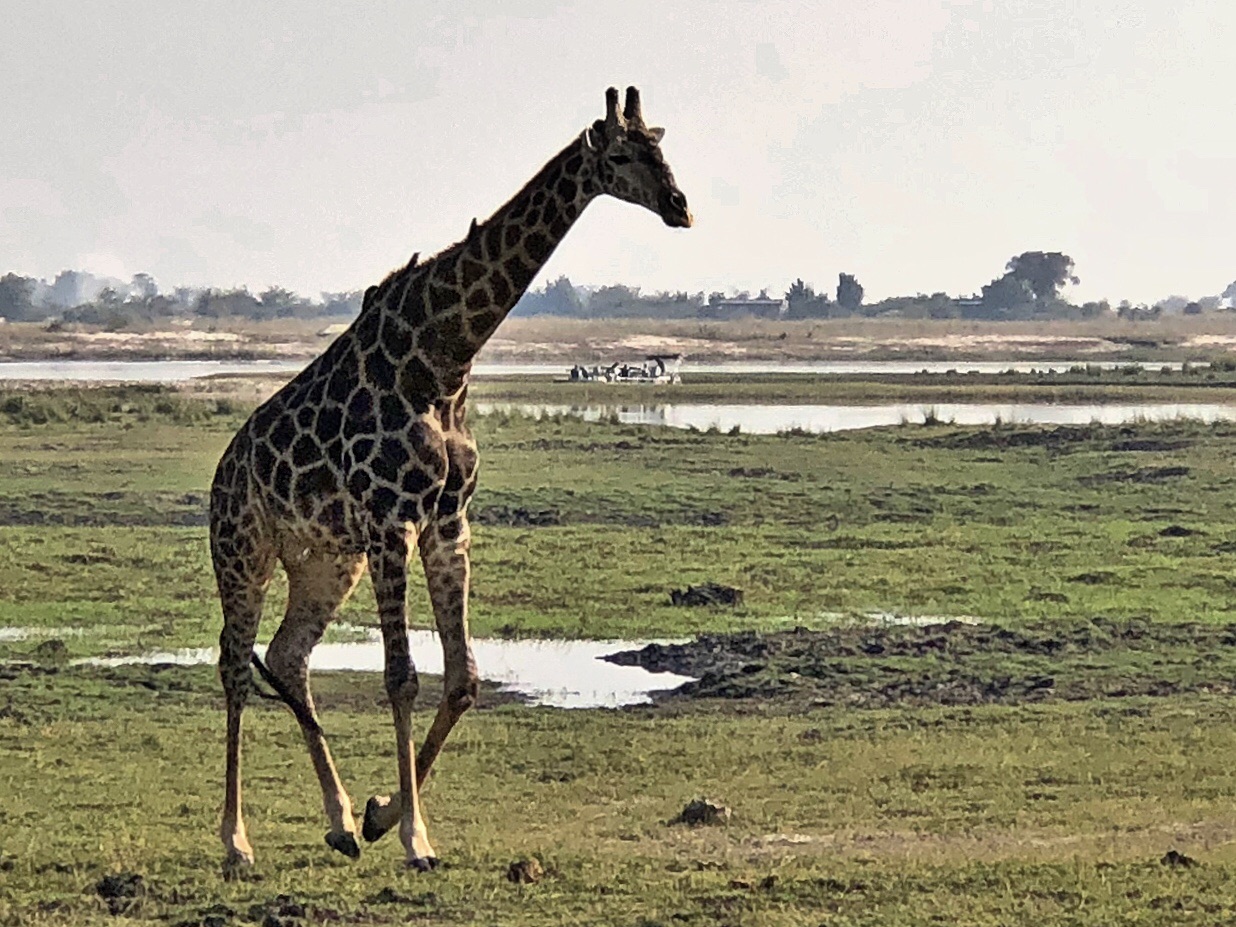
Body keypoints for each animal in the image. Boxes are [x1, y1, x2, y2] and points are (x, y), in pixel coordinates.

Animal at [212, 83, 697, 875]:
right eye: (623, 156)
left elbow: (463, 676)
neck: (443, 358)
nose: (680, 206)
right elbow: (401, 676)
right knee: (233, 666)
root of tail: (222, 470)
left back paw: (339, 823)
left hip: (325, 560)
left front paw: (382, 814)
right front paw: (415, 837)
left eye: (663, 147)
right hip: (243, 550)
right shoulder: (392, 520)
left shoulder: (447, 520)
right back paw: (235, 839)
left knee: (287, 656)